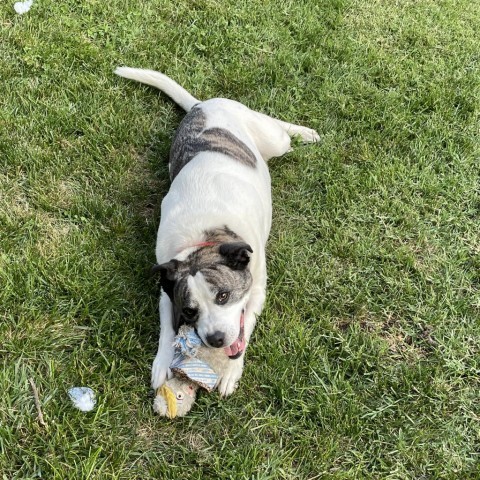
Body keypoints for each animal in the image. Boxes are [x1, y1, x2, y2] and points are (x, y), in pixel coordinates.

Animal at [114, 68, 320, 398]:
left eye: (223, 296)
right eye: (189, 310)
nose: (216, 340)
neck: (203, 239)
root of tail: (202, 105)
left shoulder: (257, 291)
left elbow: (246, 328)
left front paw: (231, 372)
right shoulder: (167, 289)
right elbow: (166, 328)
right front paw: (162, 361)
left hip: (270, 136)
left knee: (280, 130)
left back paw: (304, 132)